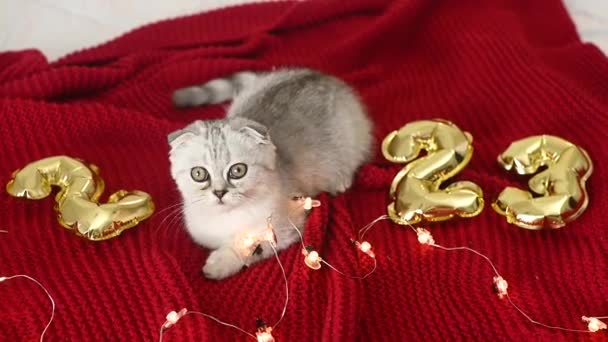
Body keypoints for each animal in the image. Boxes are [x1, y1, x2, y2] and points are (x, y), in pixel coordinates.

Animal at [169, 68, 372, 280]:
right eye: (199, 173)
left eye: (238, 170)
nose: (219, 193)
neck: (227, 219)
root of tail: (317, 74)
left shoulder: (287, 225)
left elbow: (249, 245)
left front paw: (218, 264)